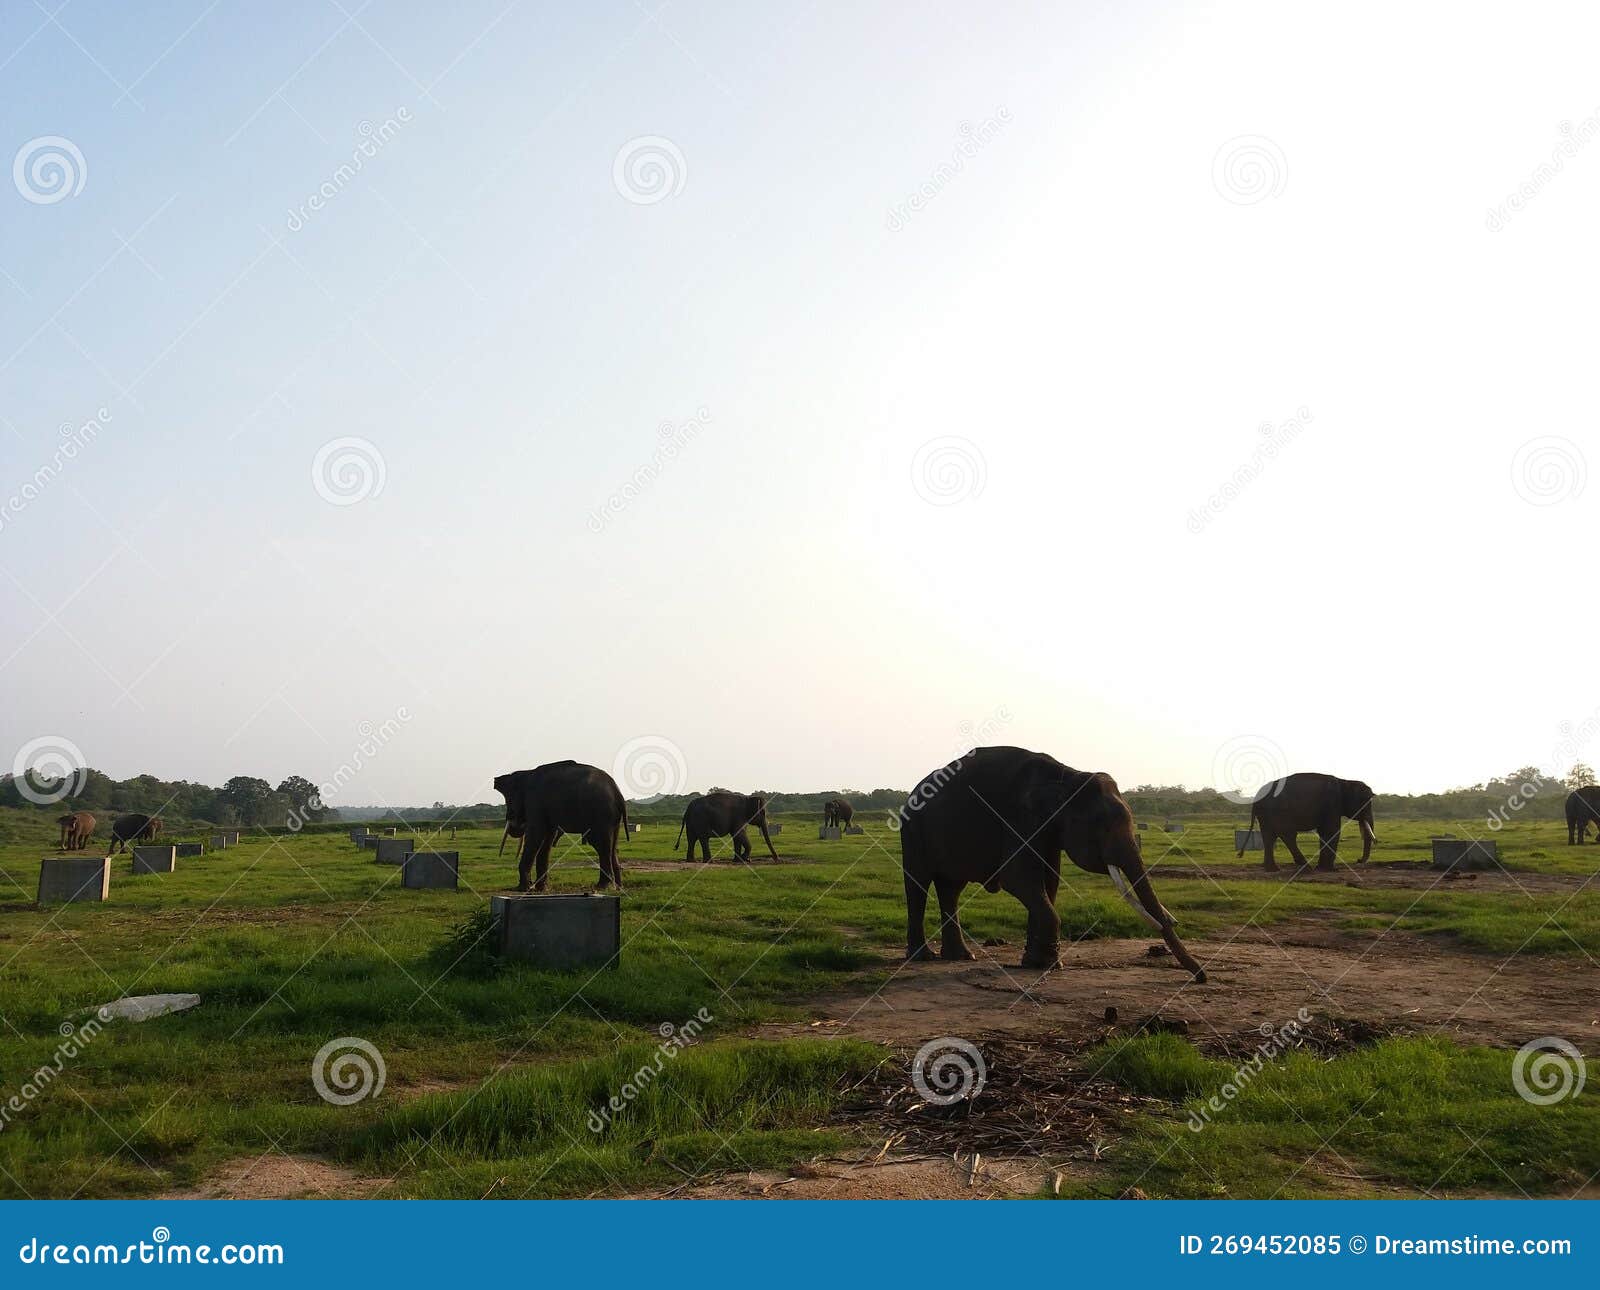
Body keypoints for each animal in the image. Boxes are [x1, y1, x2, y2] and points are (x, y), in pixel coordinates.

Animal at [494, 760, 628, 892]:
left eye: (508, 801)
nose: (510, 818)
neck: (526, 773)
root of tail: (618, 794)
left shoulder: (535, 802)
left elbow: (536, 834)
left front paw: (522, 889)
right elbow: (547, 838)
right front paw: (542, 889)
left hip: (601, 814)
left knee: (601, 845)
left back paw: (603, 887)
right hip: (613, 819)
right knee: (612, 847)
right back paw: (618, 887)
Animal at [897, 745, 1206, 981]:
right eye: (1102, 826)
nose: (1200, 977)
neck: (1068, 776)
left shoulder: (1049, 833)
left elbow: (1050, 881)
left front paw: (1039, 963)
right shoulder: (1019, 819)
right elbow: (1018, 878)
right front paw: (1044, 965)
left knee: (951, 888)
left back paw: (962, 957)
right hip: (912, 830)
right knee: (918, 886)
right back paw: (923, 957)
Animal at [1240, 772, 1376, 871]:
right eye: (1366, 801)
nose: (1358, 860)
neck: (1345, 781)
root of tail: (1256, 798)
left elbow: (1324, 831)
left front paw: (1322, 868)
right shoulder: (1332, 804)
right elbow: (1332, 830)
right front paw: (1330, 869)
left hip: (1265, 814)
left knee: (1269, 836)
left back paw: (1273, 869)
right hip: (1279, 811)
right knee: (1287, 834)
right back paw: (1306, 866)